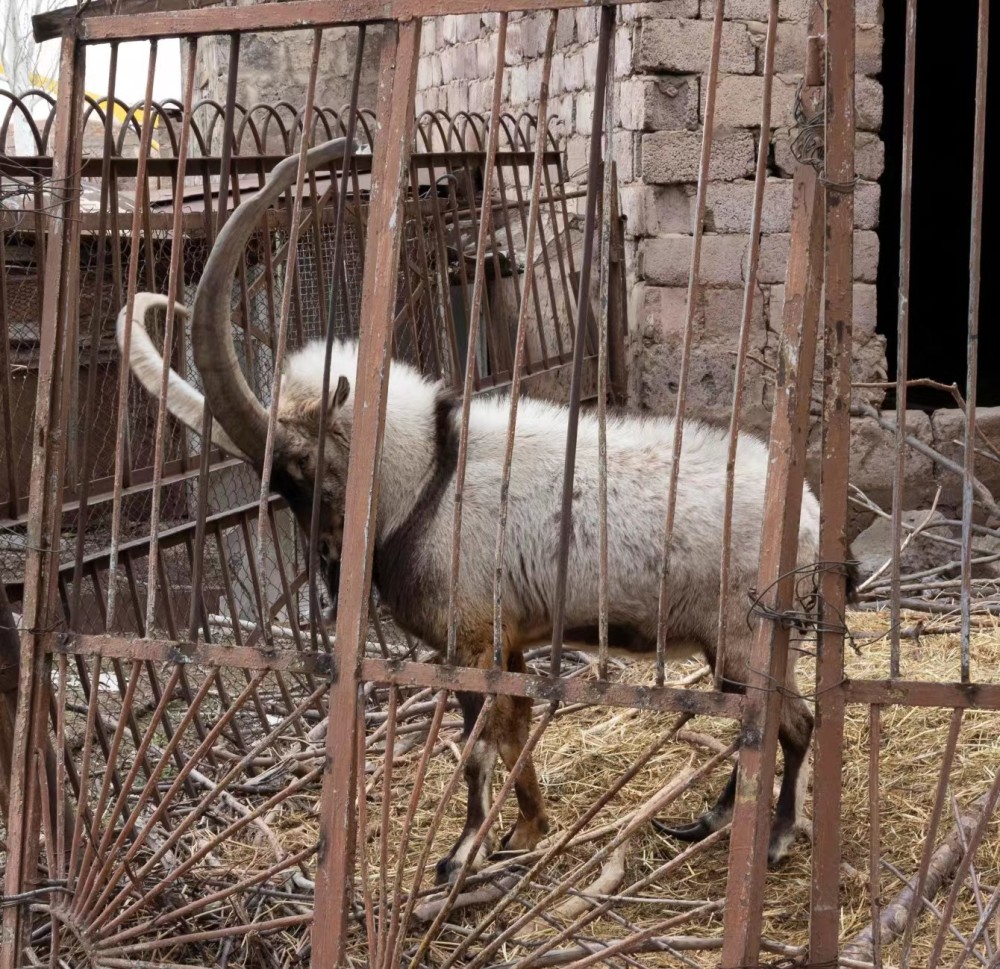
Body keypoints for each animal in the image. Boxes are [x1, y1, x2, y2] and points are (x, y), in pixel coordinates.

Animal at [117, 138, 852, 884]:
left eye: (302, 469)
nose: (328, 572)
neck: (428, 480)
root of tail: (811, 518)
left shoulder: (466, 640)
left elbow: (476, 746)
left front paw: (460, 853)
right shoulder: (509, 641)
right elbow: (515, 729)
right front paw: (526, 831)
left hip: (742, 637)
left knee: (792, 724)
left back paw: (772, 837)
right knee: (762, 721)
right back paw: (709, 819)